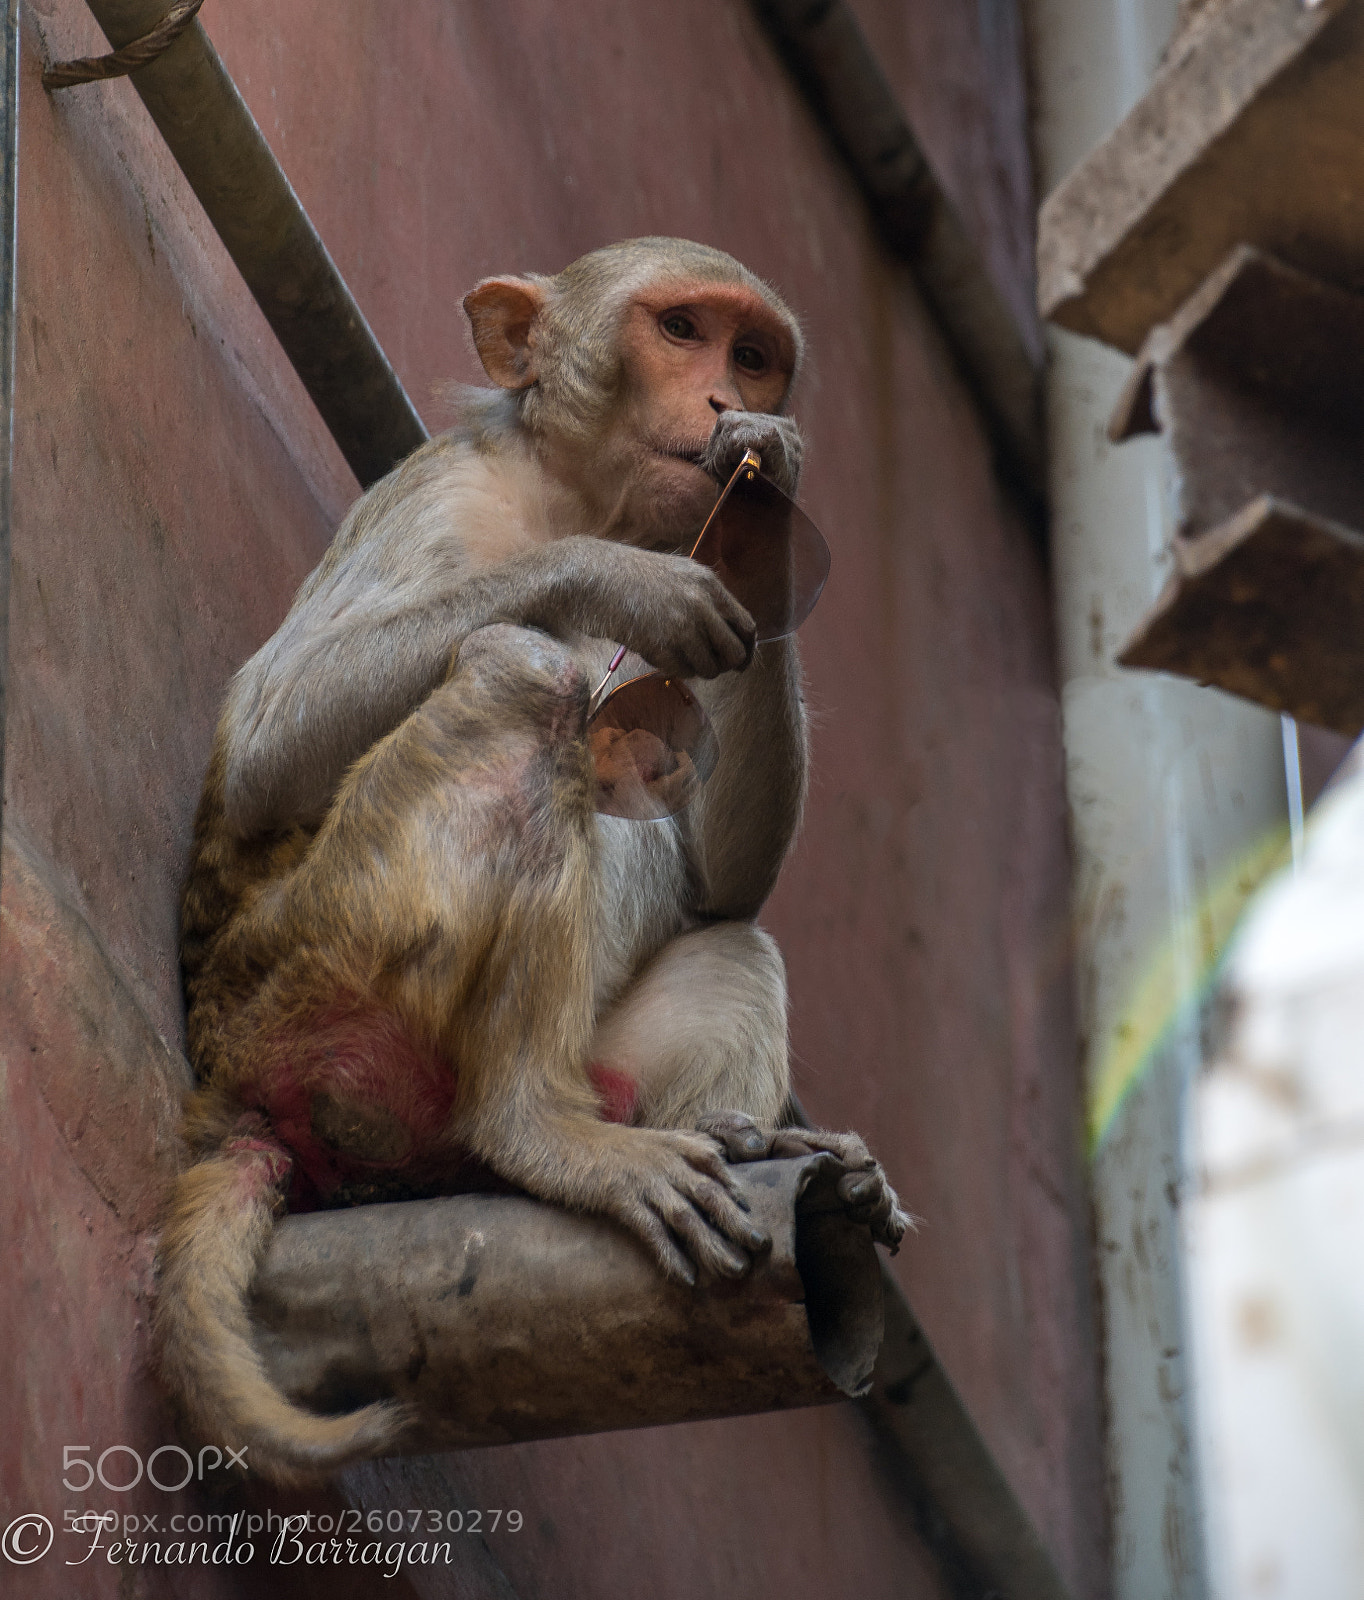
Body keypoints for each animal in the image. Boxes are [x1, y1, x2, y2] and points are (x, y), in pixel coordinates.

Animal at [155, 237, 910, 1485]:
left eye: (752, 354)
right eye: (681, 329)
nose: (727, 400)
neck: (569, 491)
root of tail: (233, 1085)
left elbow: (720, 879)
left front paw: (768, 487)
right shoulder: (437, 492)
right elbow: (268, 743)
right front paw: (611, 576)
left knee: (729, 939)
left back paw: (733, 1135)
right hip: (317, 981)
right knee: (521, 676)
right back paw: (537, 1132)